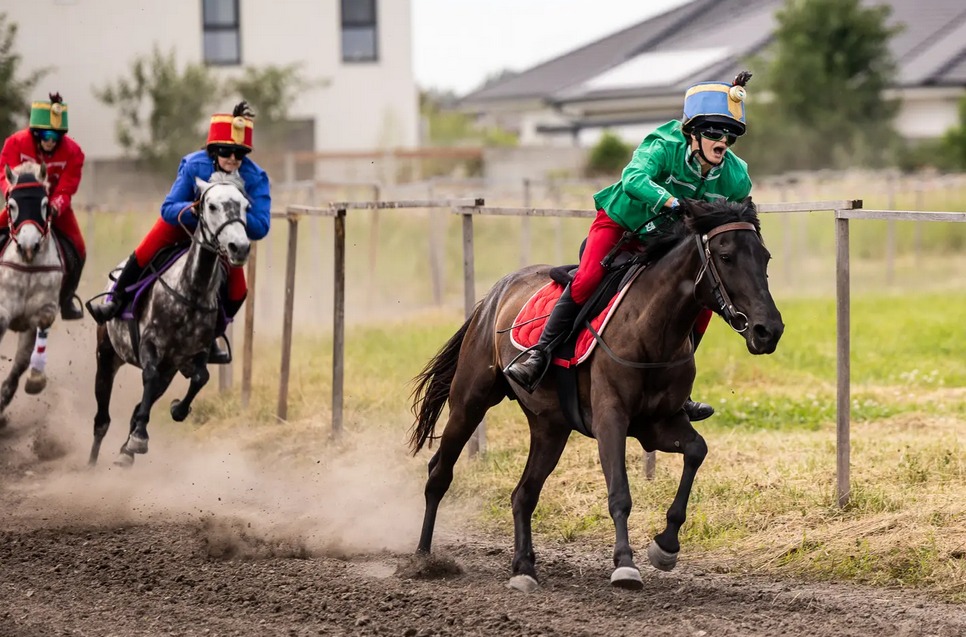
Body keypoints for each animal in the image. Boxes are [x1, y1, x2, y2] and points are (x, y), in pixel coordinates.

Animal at [88, 171, 251, 464]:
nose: (239, 247)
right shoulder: (150, 345)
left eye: (246, 206)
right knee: (102, 419)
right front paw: (139, 439)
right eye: (211, 206)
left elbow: (200, 378)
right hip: (106, 354)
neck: (191, 291)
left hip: (170, 370)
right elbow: (149, 376)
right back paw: (95, 461)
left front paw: (176, 410)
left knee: (141, 403)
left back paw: (126, 450)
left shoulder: (195, 352)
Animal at [408, 198, 788, 592]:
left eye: (765, 257)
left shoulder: (658, 424)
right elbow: (619, 492)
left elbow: (697, 451)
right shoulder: (611, 419)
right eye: (726, 256)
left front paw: (666, 545)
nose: (769, 330)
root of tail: (493, 295)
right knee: (439, 472)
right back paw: (423, 558)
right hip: (470, 400)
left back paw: (523, 568)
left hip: (550, 426)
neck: (651, 329)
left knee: (523, 494)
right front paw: (625, 564)